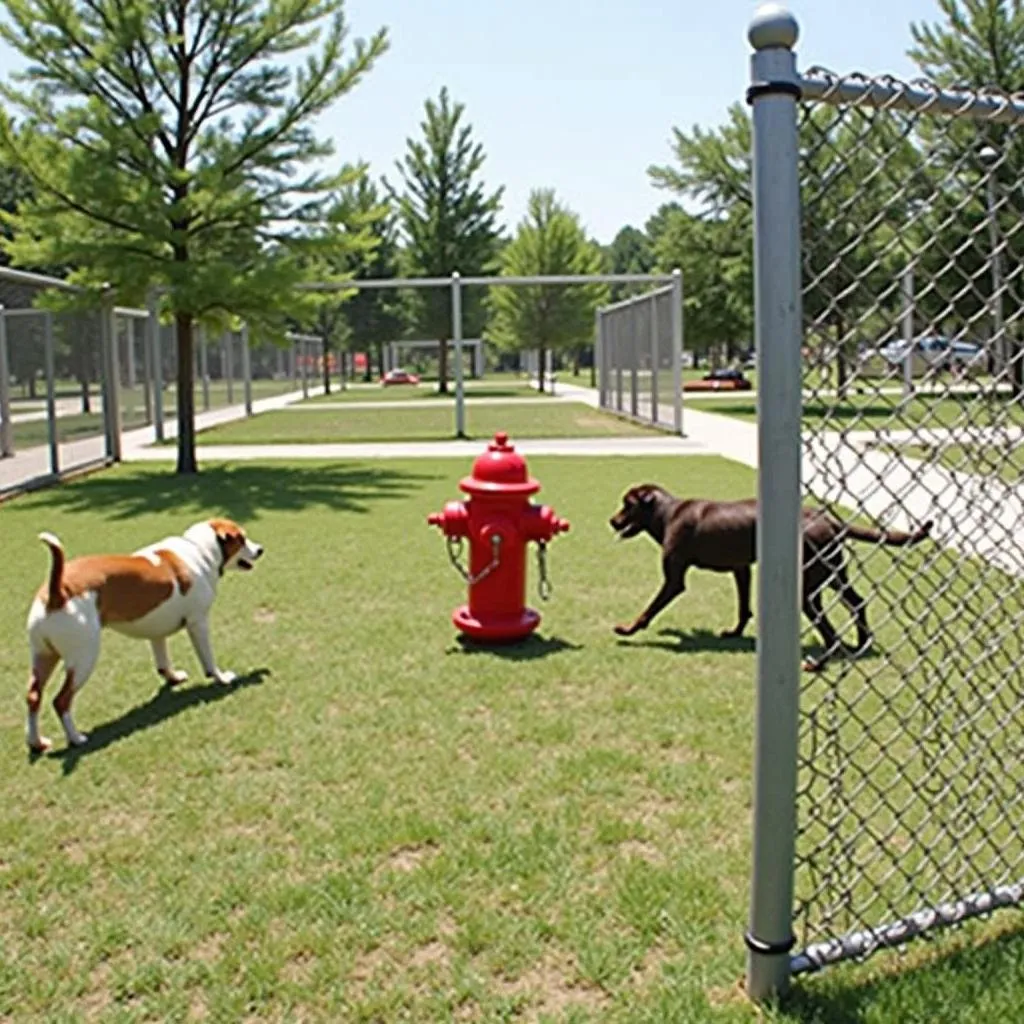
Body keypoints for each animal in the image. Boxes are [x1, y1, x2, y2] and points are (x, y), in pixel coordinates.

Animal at [25, 520, 264, 753]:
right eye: (241, 538)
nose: (260, 549)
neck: (199, 549)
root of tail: (57, 591)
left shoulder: (157, 631)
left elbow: (163, 662)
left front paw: (173, 678)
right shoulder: (198, 623)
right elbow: (209, 661)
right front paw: (221, 678)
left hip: (44, 656)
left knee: (33, 696)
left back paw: (37, 742)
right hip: (84, 657)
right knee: (61, 701)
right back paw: (76, 738)